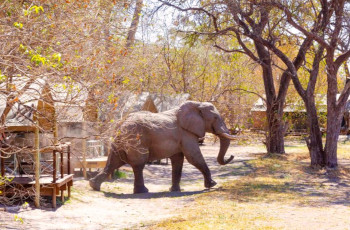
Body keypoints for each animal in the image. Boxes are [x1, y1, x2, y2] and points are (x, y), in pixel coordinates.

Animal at [89, 100, 235, 192]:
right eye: (215, 118)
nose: (232, 156)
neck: (196, 104)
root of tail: (121, 124)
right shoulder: (186, 134)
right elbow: (193, 157)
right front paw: (212, 185)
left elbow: (178, 160)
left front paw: (175, 190)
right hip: (136, 140)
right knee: (138, 164)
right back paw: (142, 191)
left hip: (120, 141)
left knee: (113, 161)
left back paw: (93, 186)